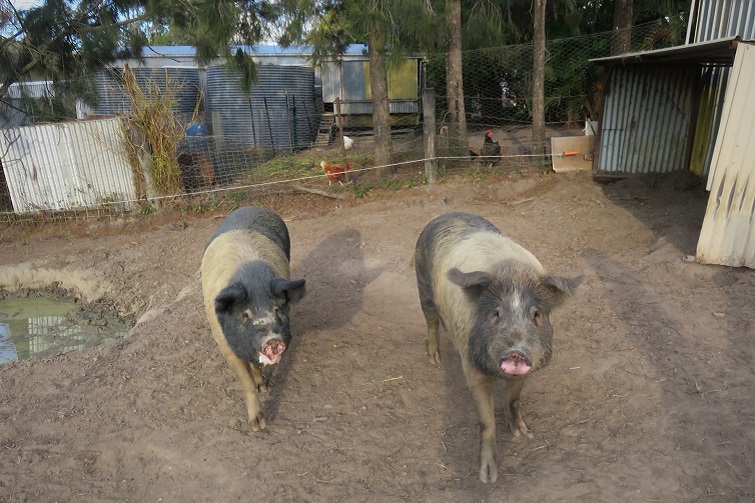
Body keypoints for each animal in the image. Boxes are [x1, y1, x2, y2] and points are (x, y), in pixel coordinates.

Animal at [201, 206, 306, 430]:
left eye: (277, 310)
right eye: (245, 314)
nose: (272, 339)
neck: (252, 279)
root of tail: (251, 207)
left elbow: (257, 366)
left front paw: (264, 389)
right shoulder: (224, 343)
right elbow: (246, 383)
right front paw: (258, 426)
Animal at [414, 211, 581, 483]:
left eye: (536, 314)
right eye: (495, 313)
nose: (516, 351)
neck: (513, 271)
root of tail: (444, 213)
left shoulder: (524, 372)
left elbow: (514, 401)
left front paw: (524, 434)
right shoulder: (473, 369)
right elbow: (486, 421)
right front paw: (488, 477)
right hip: (422, 284)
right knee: (430, 318)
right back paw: (434, 359)